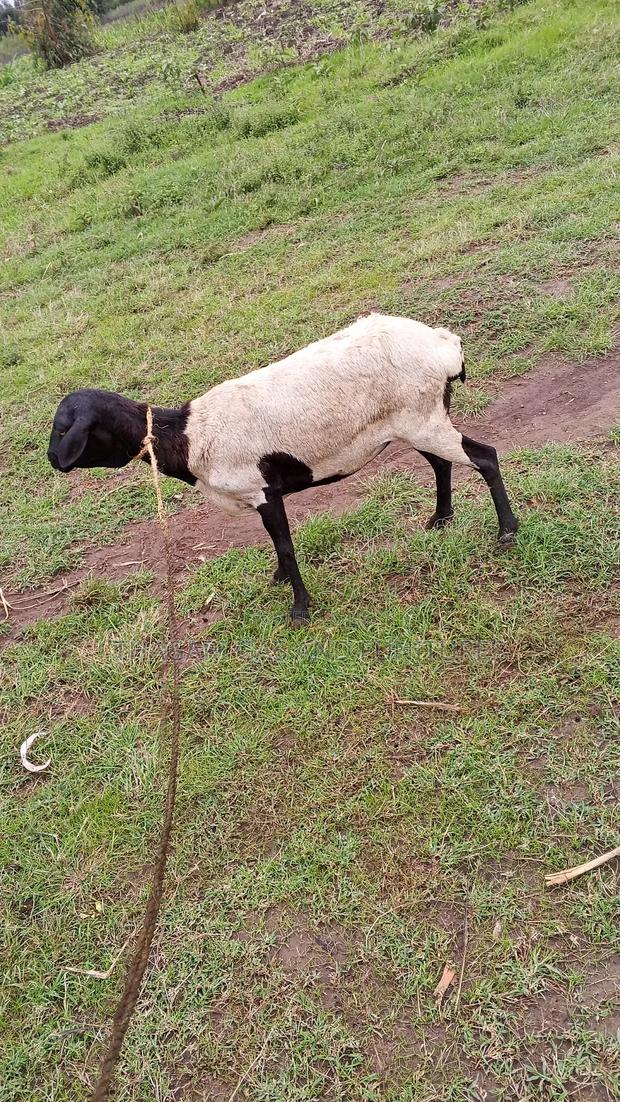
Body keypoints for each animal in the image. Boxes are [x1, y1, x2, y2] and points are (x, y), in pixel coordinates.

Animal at [48, 313, 519, 624]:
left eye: (64, 429)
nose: (53, 461)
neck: (188, 436)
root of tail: (444, 346)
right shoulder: (262, 494)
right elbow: (277, 546)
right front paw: (278, 581)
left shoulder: (261, 490)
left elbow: (287, 546)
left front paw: (299, 609)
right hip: (416, 420)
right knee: (442, 462)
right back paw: (440, 519)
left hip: (423, 417)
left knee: (484, 457)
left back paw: (507, 533)